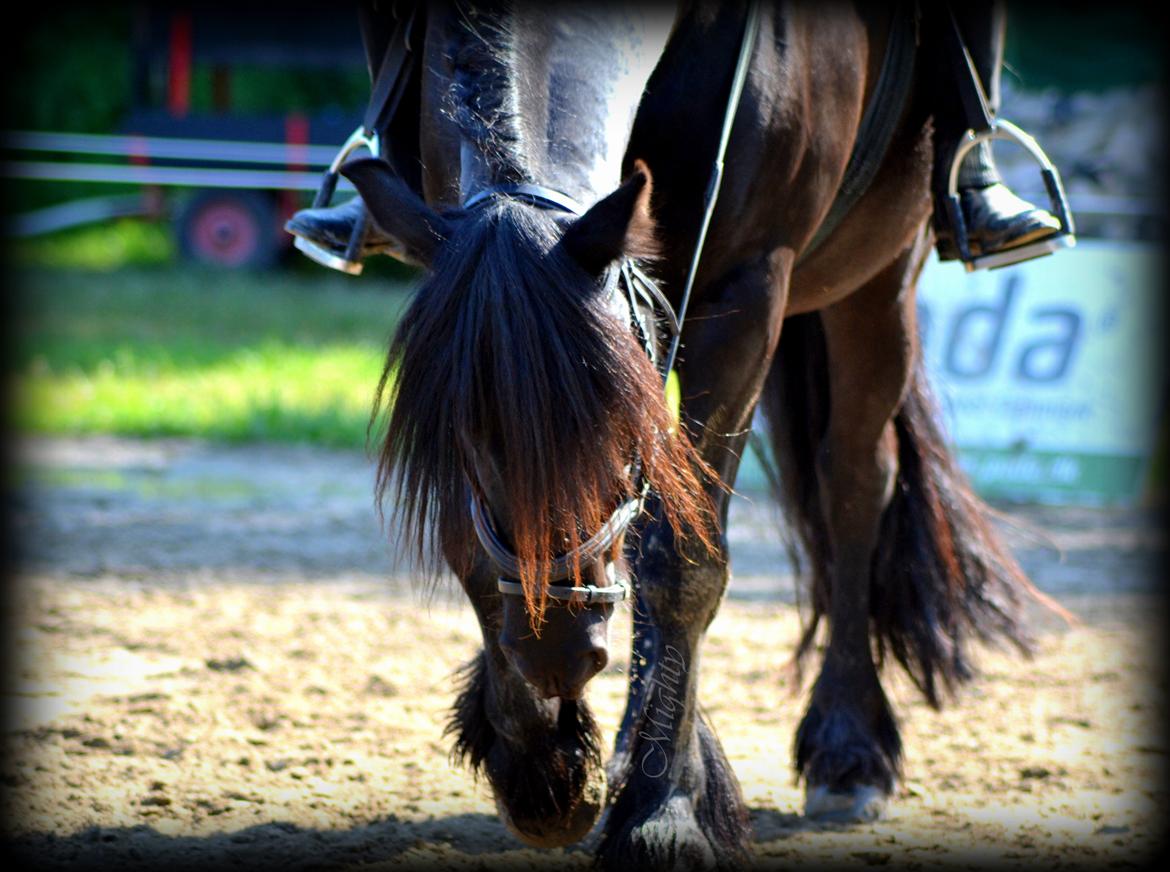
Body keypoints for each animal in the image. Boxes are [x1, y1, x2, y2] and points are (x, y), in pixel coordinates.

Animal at [339, 1, 1047, 866]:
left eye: (613, 420)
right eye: (464, 436)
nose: (555, 651)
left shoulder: (747, 290)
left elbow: (684, 560)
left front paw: (664, 810)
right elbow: (477, 546)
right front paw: (543, 769)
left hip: (881, 276)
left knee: (854, 483)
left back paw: (849, 751)